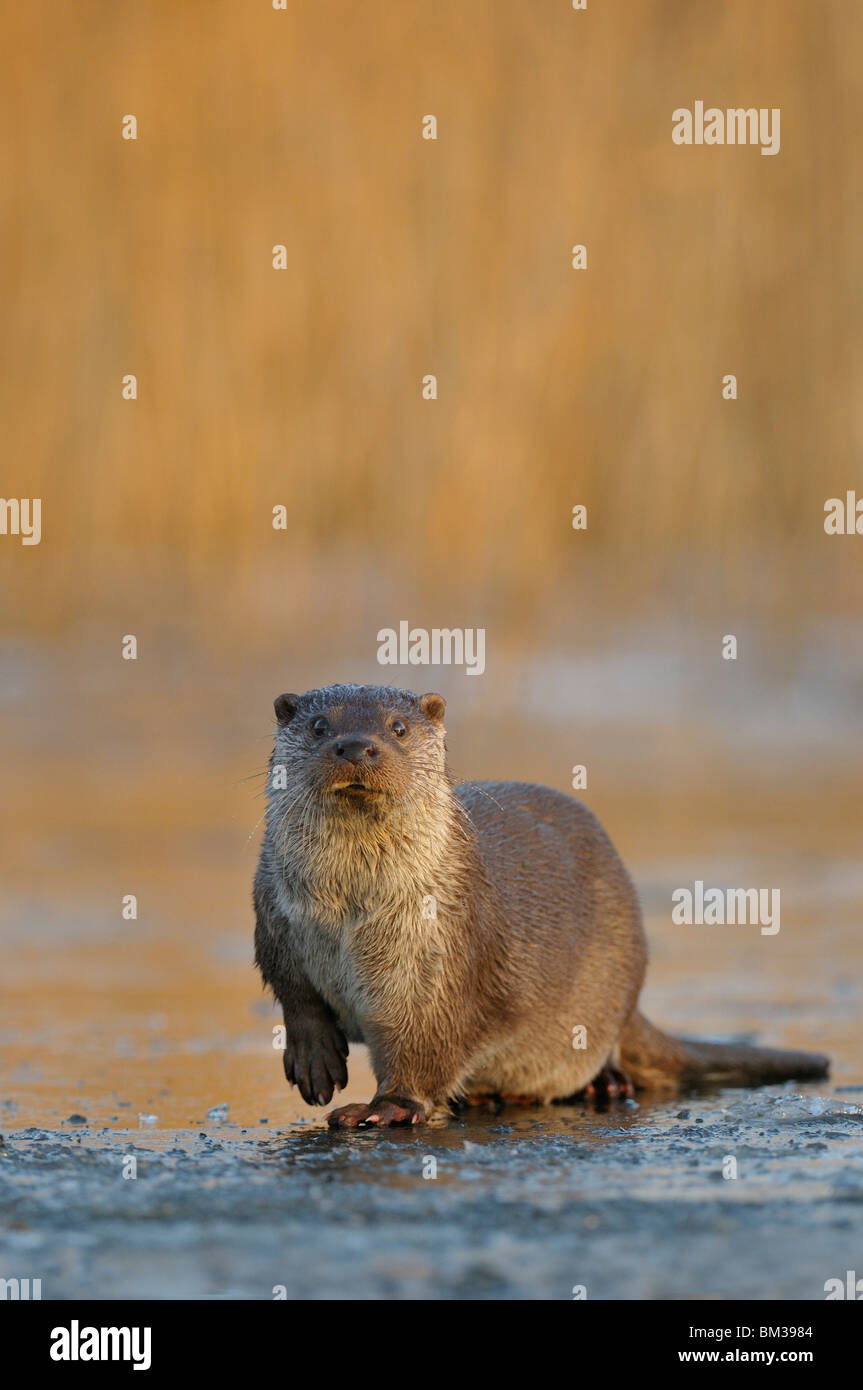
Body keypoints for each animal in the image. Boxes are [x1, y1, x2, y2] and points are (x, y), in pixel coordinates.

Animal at [250, 683, 828, 1128]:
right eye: (320, 726)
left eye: (397, 728)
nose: (355, 745)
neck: (347, 920)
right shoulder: (275, 919)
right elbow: (295, 994)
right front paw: (313, 1057)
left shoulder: (442, 957)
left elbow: (427, 1044)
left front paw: (388, 1106)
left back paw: (604, 1084)